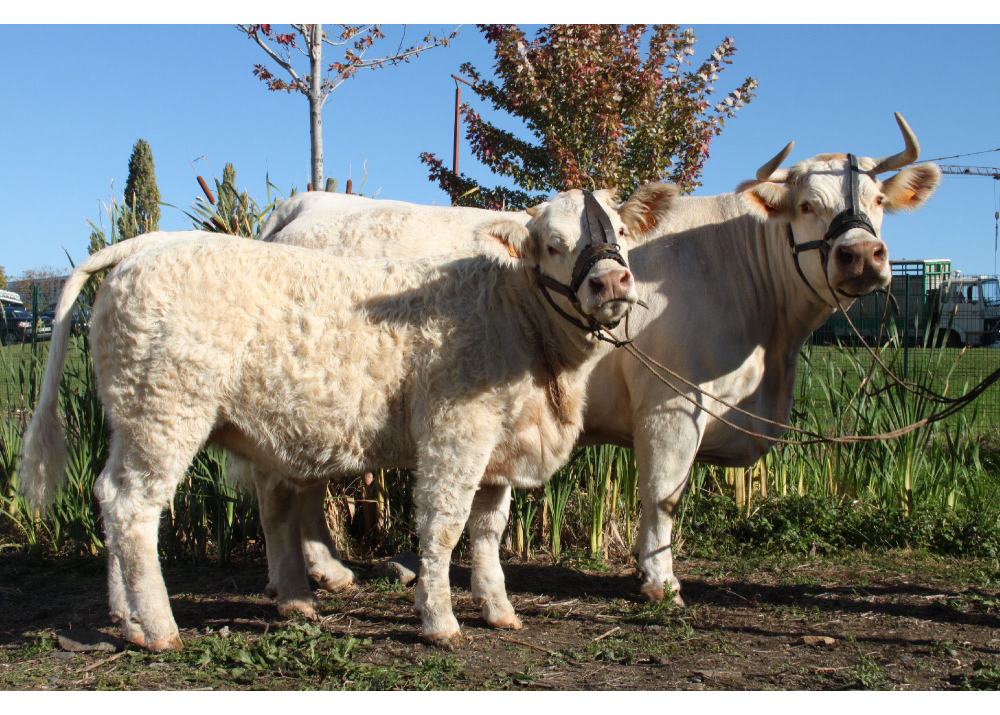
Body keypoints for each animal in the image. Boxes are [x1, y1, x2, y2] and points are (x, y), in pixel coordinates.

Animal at [19, 186, 676, 656]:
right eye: (554, 243)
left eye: (619, 231)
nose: (610, 280)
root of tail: (142, 246)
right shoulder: (455, 432)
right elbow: (443, 525)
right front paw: (439, 619)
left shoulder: (500, 445)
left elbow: (489, 530)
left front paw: (499, 609)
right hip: (165, 411)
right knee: (134, 506)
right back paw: (159, 628)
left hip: (132, 417)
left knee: (108, 493)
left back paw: (127, 618)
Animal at [240, 114, 936, 620]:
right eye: (808, 205)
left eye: (878, 198)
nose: (862, 255)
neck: (772, 345)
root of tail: (303, 206)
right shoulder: (670, 405)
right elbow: (664, 495)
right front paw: (659, 582)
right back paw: (313, 576)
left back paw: (325, 574)